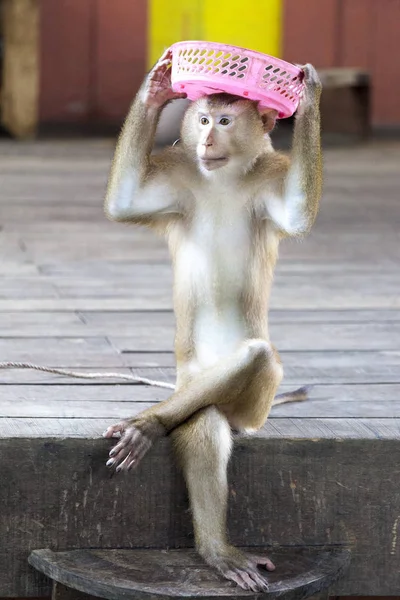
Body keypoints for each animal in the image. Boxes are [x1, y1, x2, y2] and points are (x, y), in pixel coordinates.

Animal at [102, 49, 322, 592]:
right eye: (202, 119)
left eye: (225, 121)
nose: (206, 139)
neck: (222, 176)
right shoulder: (181, 175)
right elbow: (124, 204)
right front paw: (157, 86)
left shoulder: (271, 176)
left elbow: (296, 214)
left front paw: (306, 95)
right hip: (189, 379)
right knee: (202, 420)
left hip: (254, 410)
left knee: (252, 364)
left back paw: (153, 426)